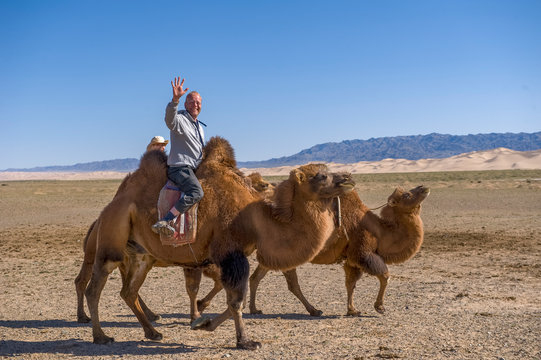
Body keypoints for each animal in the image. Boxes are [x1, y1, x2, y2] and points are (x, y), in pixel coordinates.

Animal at [83, 135, 354, 348]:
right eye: (320, 176)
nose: (348, 178)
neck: (253, 216)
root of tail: (113, 202)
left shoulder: (230, 257)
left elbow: (233, 297)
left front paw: (205, 323)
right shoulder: (231, 254)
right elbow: (236, 299)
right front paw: (245, 341)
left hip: (142, 254)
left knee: (128, 291)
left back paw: (152, 332)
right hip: (112, 240)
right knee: (94, 288)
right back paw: (101, 336)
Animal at [247, 184, 428, 316]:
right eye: (407, 195)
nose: (423, 187)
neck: (380, 231)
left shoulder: (351, 259)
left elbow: (350, 283)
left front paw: (352, 310)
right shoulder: (363, 252)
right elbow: (385, 276)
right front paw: (380, 307)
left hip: (273, 252)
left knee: (256, 277)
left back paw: (254, 309)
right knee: (292, 284)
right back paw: (314, 310)